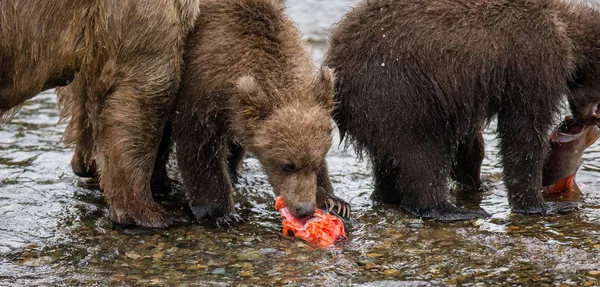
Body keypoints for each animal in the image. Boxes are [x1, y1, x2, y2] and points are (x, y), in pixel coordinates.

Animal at [171, 0, 350, 227]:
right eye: (286, 165)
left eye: (316, 164)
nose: (305, 209)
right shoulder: (200, 88)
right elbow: (200, 148)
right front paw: (222, 214)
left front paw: (335, 201)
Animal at [326, 0, 600, 222]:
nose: (590, 117)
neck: (569, 34)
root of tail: (333, 60)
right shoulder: (533, 62)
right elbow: (523, 132)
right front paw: (541, 205)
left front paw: (478, 179)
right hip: (397, 89)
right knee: (423, 151)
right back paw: (449, 209)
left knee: (391, 157)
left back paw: (389, 195)